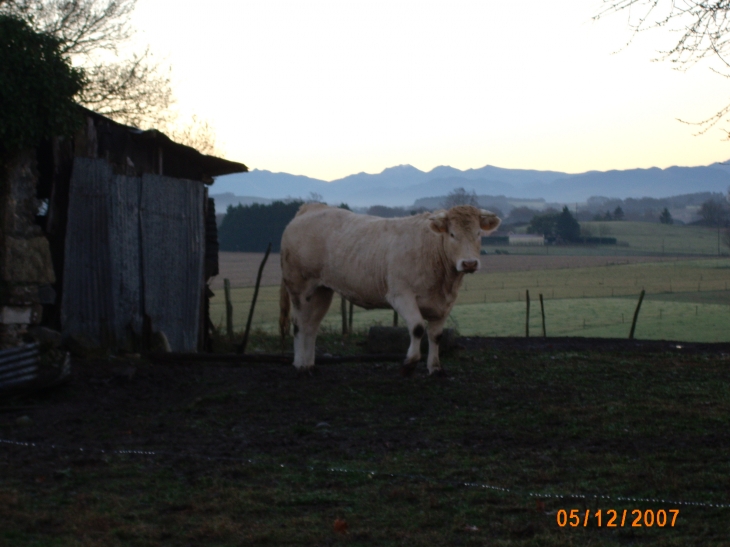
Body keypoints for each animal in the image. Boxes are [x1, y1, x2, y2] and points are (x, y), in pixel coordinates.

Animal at [278, 204, 500, 376]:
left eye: (478, 233)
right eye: (452, 234)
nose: (469, 263)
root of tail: (311, 207)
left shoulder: (444, 303)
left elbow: (436, 335)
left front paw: (435, 368)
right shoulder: (400, 295)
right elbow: (417, 327)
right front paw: (409, 364)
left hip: (322, 290)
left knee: (311, 325)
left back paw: (309, 365)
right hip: (299, 287)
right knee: (300, 323)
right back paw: (300, 365)